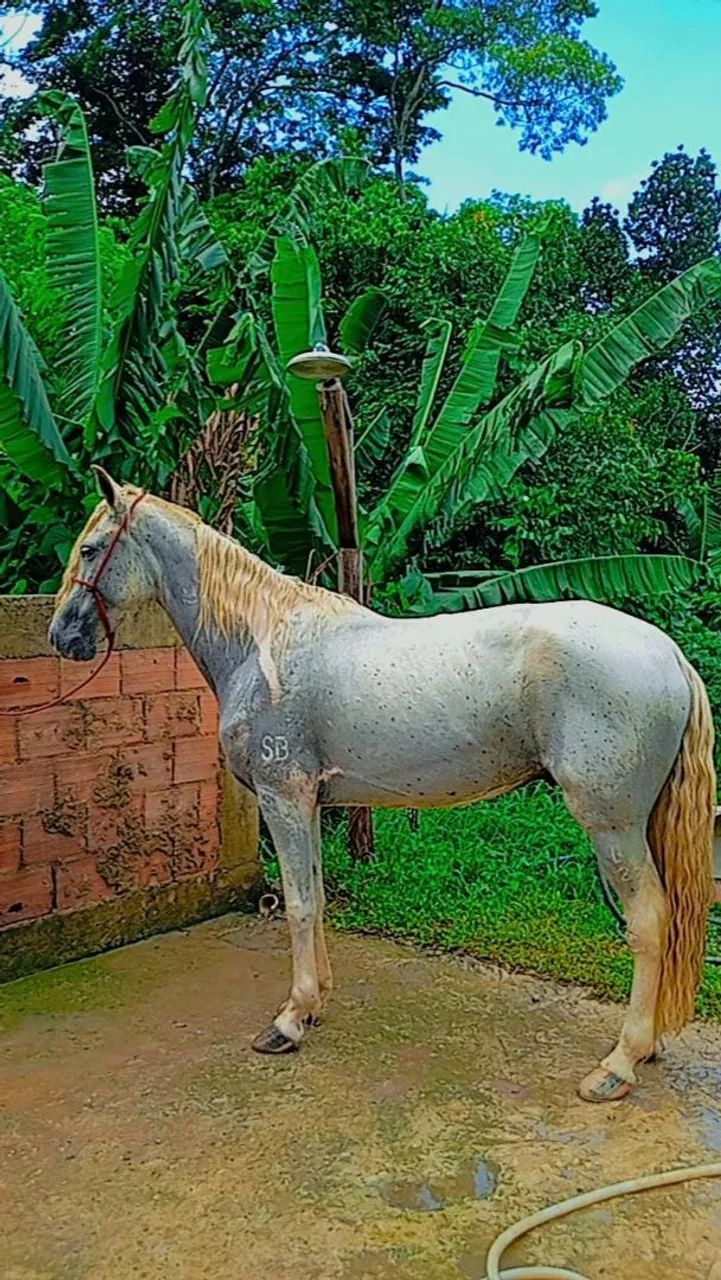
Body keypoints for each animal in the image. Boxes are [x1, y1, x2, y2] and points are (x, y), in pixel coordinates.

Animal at [49, 468, 716, 1103]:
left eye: (90, 548)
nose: (61, 637)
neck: (262, 646)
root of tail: (670, 655)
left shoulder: (282, 799)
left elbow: (297, 904)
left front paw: (288, 1022)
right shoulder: (309, 805)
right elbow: (316, 896)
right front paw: (314, 1004)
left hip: (612, 826)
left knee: (649, 922)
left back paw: (619, 1064)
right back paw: (648, 1047)